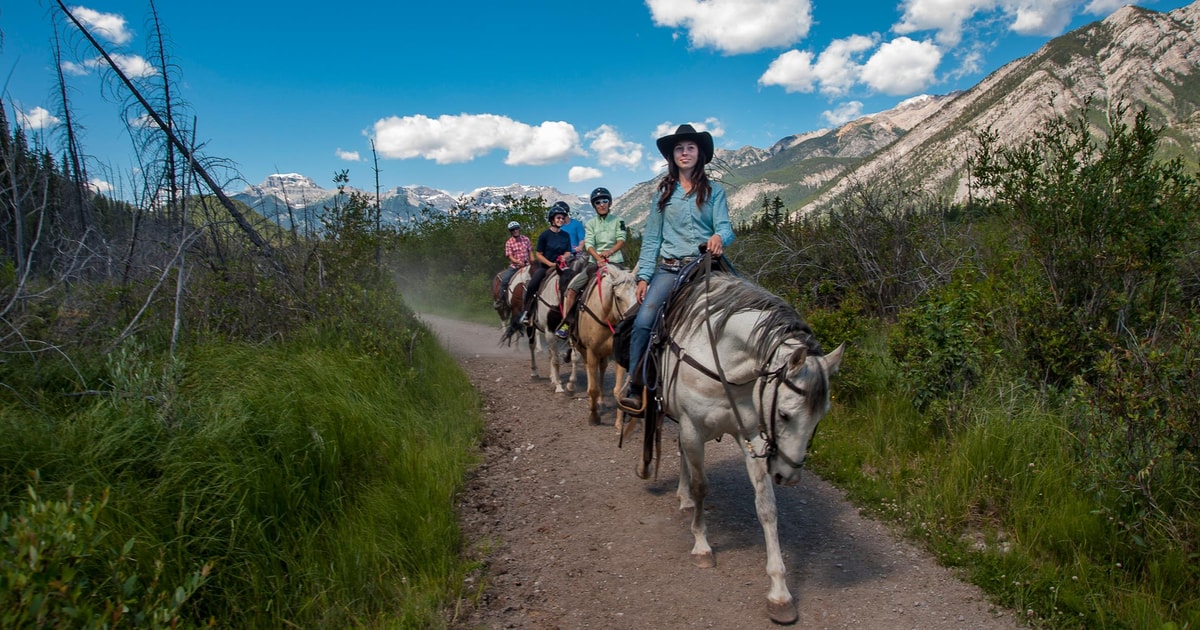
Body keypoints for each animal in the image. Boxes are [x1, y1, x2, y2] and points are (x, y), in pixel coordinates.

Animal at [573, 262, 643, 429]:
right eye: (618, 297)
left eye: (638, 295)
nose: (632, 322)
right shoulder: (591, 351)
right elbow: (593, 389)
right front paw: (594, 417)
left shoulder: (617, 355)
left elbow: (618, 391)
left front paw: (618, 424)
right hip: (581, 347)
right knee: (585, 366)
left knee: (602, 368)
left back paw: (601, 401)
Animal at [638, 268, 844, 624]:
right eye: (784, 413)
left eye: (822, 416)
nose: (789, 477)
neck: (724, 361)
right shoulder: (693, 427)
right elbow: (702, 486)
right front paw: (702, 545)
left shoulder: (751, 434)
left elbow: (766, 506)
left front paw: (779, 593)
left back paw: (683, 497)